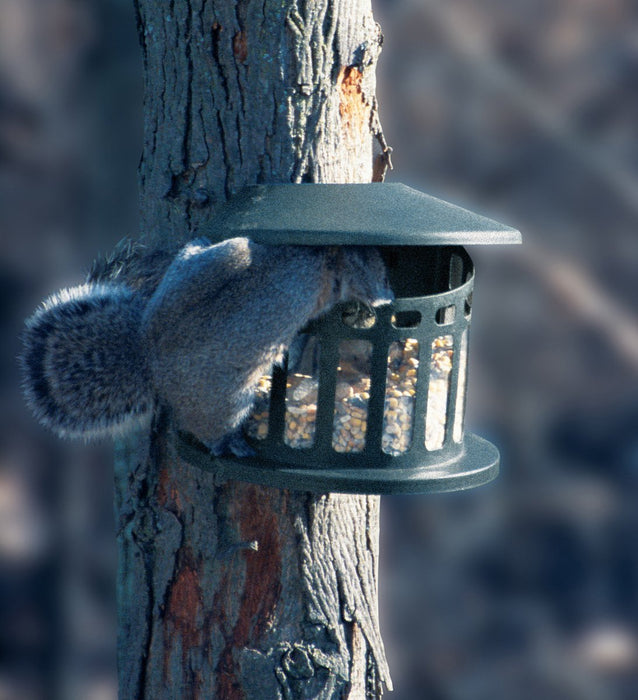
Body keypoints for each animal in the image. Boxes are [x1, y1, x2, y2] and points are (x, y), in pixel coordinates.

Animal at [20, 236, 393, 456]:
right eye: (380, 271)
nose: (389, 293)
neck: (323, 258)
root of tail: (148, 360)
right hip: (223, 401)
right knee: (210, 430)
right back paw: (231, 444)